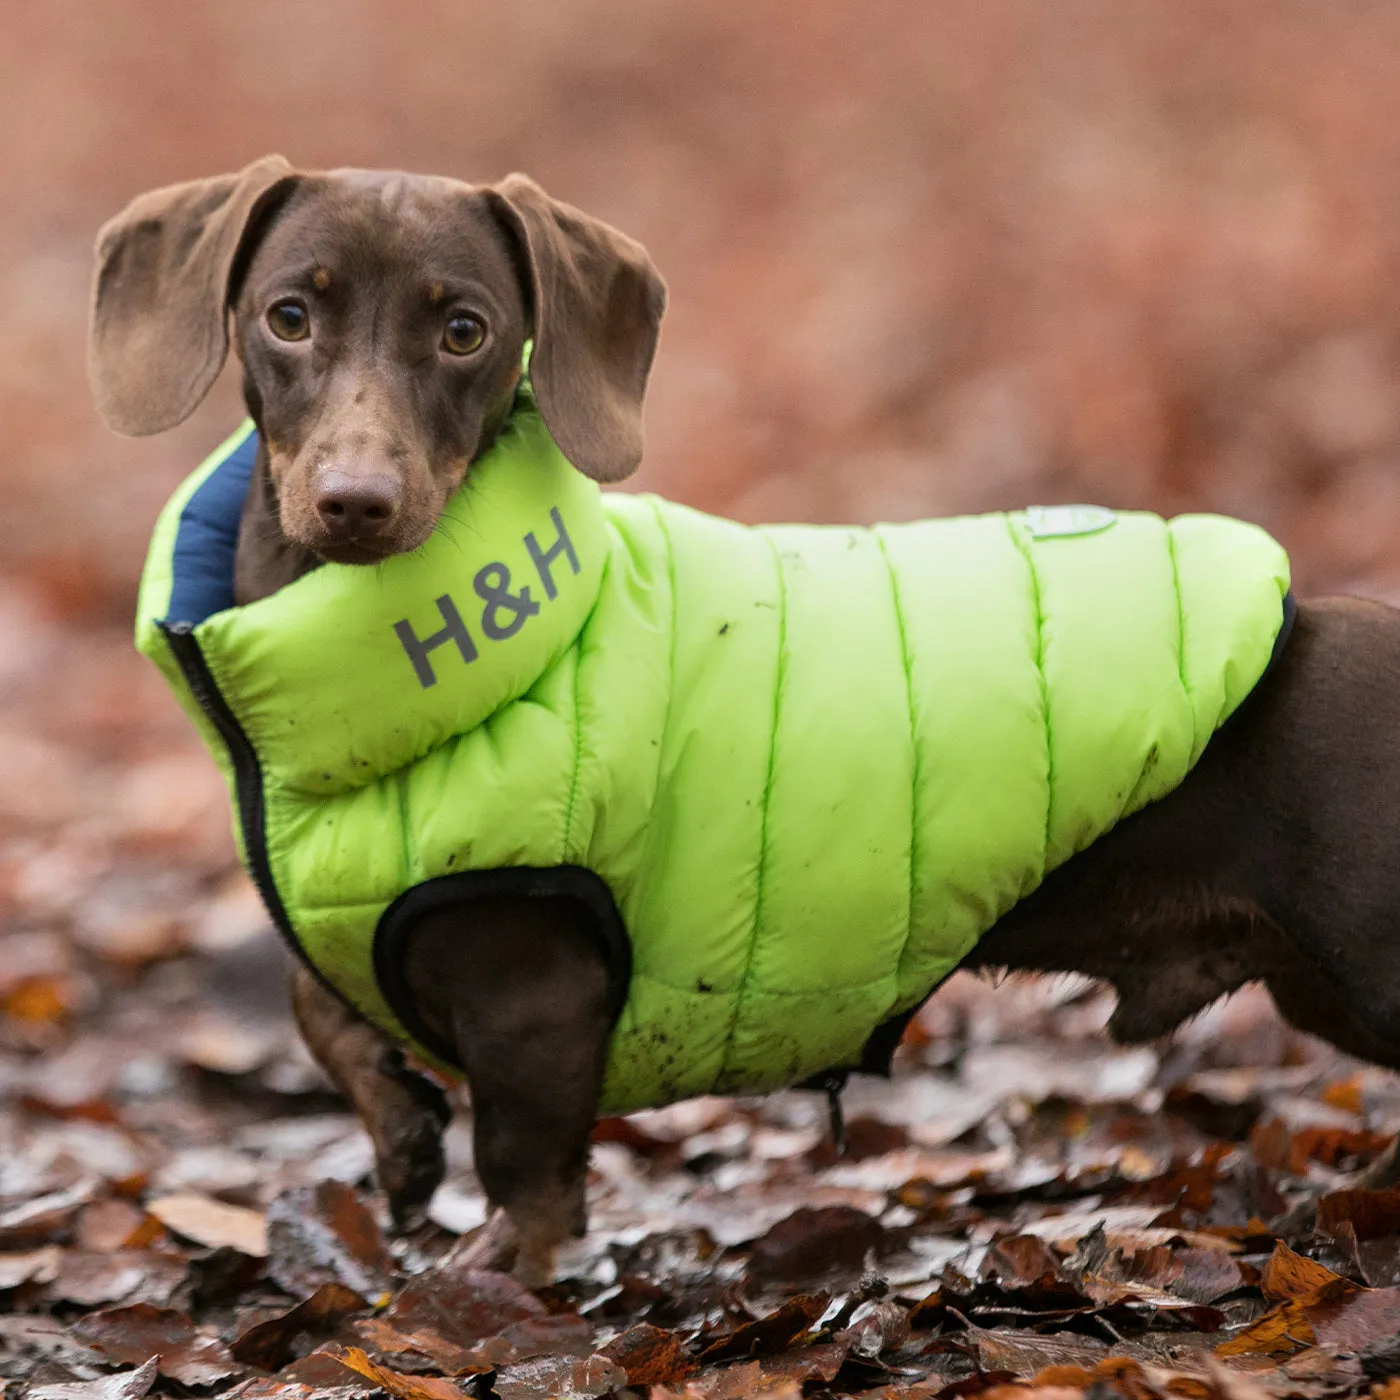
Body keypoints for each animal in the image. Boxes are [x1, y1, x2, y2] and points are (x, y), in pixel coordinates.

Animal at [90, 158, 1400, 1282]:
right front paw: (397, 1127)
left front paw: (486, 1279)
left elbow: (526, 1170)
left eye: (464, 329)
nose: (355, 500)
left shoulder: (537, 996)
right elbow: (319, 1001)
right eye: (287, 316)